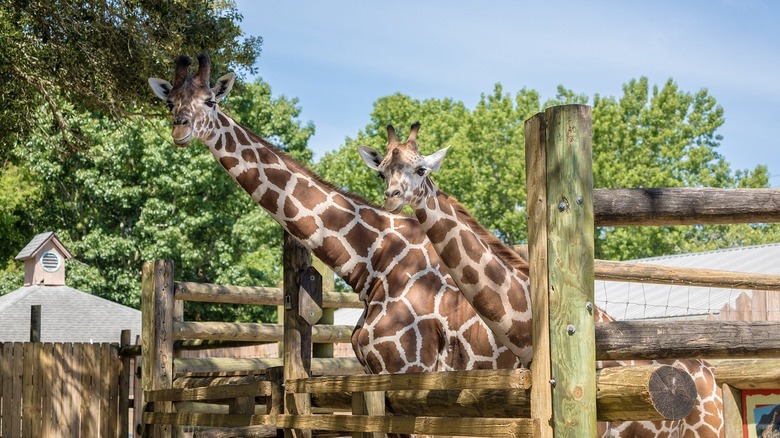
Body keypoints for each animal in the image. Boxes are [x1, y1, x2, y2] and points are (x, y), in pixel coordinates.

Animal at [358, 122, 724, 437]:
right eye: (382, 172)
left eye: (421, 169)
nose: (392, 196)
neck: (530, 333)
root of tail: (712, 379)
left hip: (709, 430)